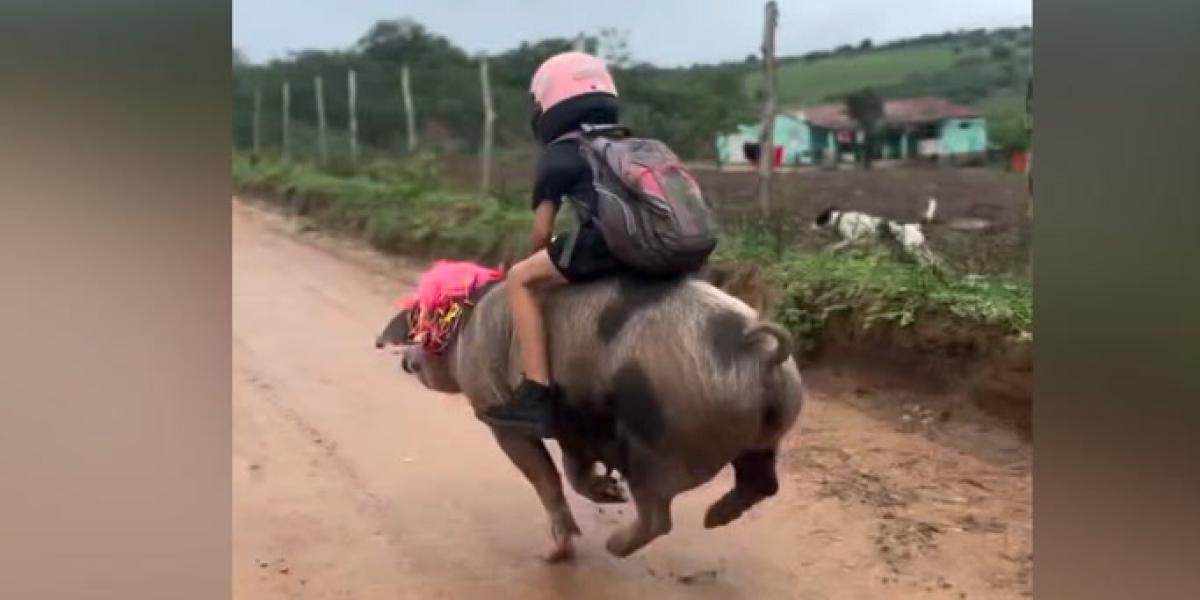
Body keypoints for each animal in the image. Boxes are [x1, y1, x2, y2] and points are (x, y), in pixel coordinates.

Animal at [376, 274, 803, 561]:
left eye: (423, 327)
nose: (405, 360)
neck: (467, 329)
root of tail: (757, 352)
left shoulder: (494, 407)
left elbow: (544, 475)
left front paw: (555, 555)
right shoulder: (575, 425)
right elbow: (574, 471)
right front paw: (609, 492)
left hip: (659, 443)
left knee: (658, 516)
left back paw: (617, 546)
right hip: (770, 426)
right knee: (762, 482)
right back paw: (715, 517)